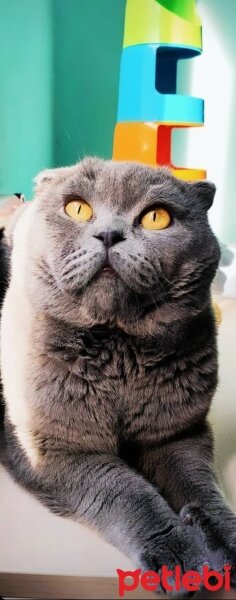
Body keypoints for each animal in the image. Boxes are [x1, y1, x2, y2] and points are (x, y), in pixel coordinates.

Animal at [0, 158, 236, 596]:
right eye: (77, 208)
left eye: (157, 217)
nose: (109, 234)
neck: (120, 356)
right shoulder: (55, 447)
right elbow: (126, 491)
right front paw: (176, 552)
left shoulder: (178, 433)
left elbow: (201, 483)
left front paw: (223, 536)